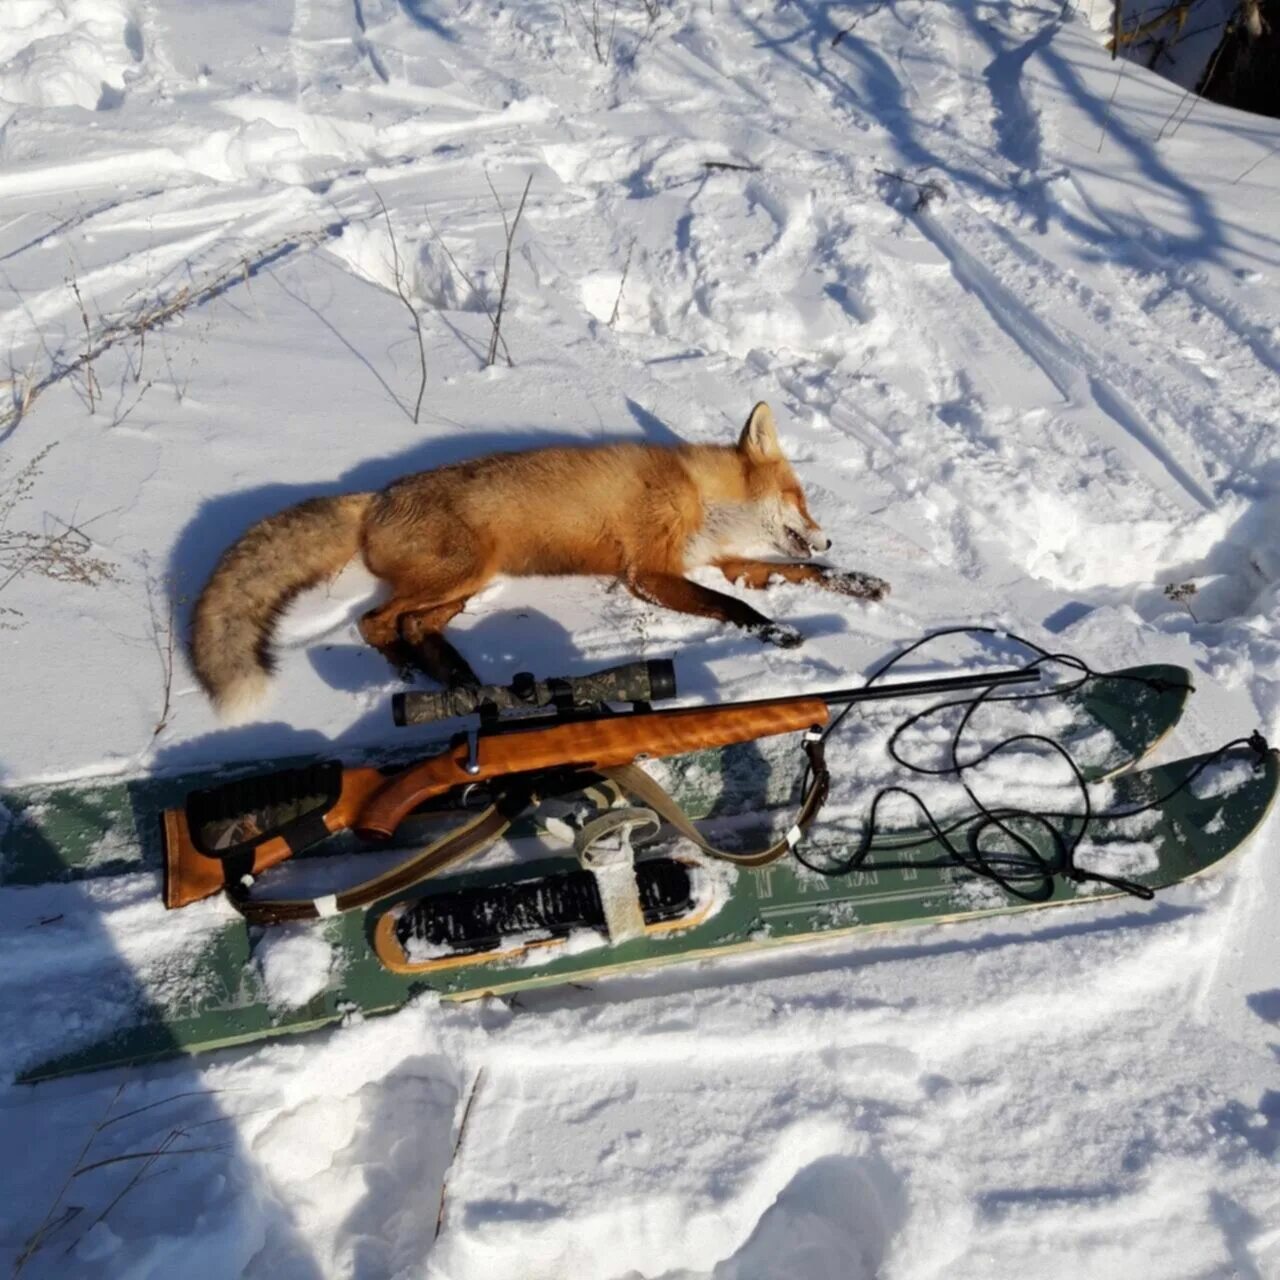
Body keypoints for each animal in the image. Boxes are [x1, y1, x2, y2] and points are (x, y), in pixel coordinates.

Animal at [192, 401, 890, 721]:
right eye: (802, 498)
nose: (829, 538)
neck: (698, 497)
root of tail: (375, 497)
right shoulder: (649, 573)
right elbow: (735, 606)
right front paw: (780, 633)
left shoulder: (726, 560)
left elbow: (796, 576)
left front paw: (860, 580)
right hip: (461, 573)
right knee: (376, 622)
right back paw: (419, 679)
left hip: (467, 584)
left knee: (412, 624)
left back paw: (457, 678)